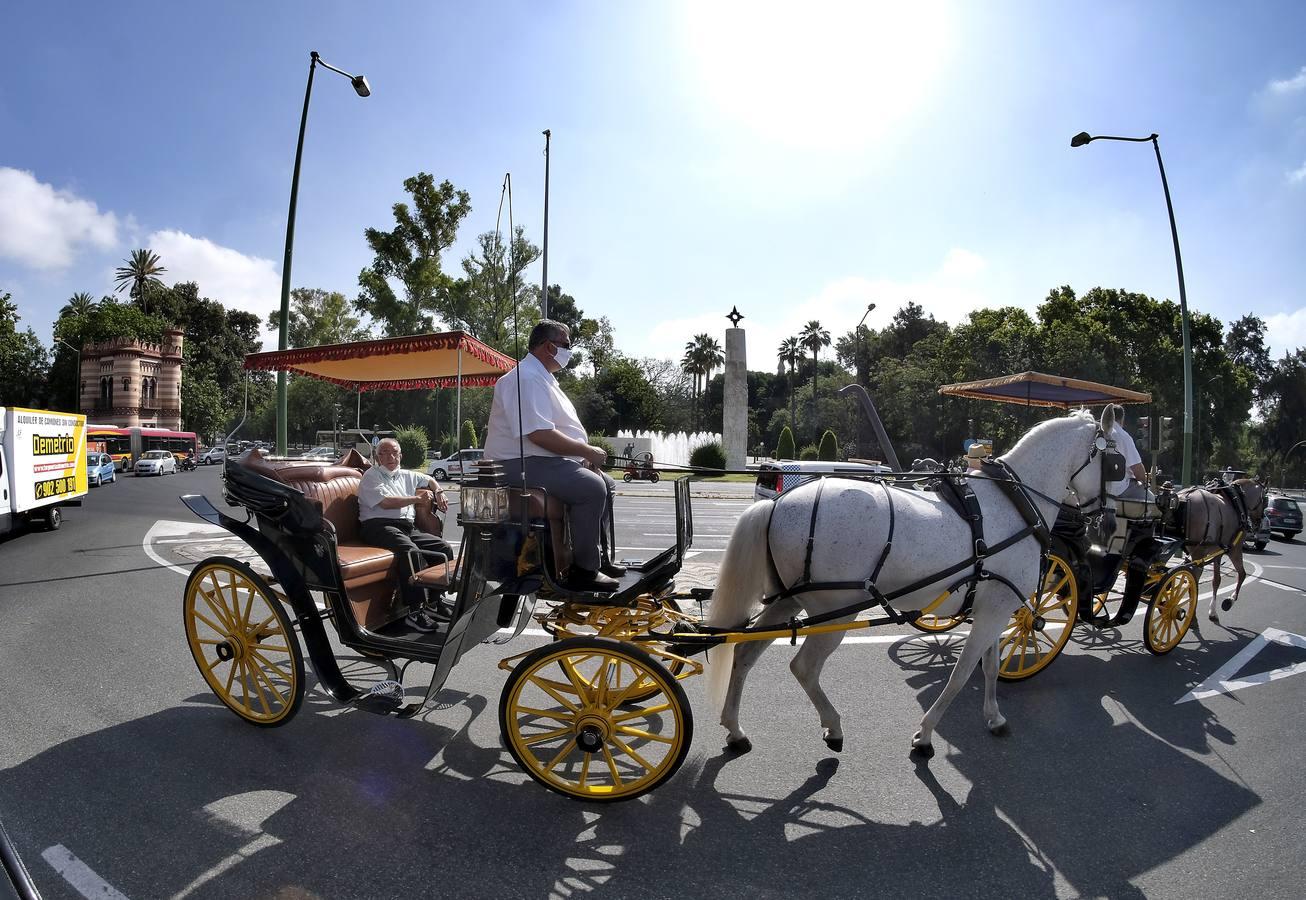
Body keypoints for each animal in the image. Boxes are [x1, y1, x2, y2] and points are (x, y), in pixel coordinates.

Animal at [705, 410, 1112, 752]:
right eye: (1116, 460)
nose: (1105, 521)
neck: (1015, 504)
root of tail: (775, 503)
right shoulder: (995, 612)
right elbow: (962, 673)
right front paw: (926, 733)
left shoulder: (995, 609)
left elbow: (991, 666)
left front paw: (994, 717)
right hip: (835, 612)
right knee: (803, 668)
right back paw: (832, 725)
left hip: (786, 599)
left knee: (744, 653)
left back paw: (735, 728)